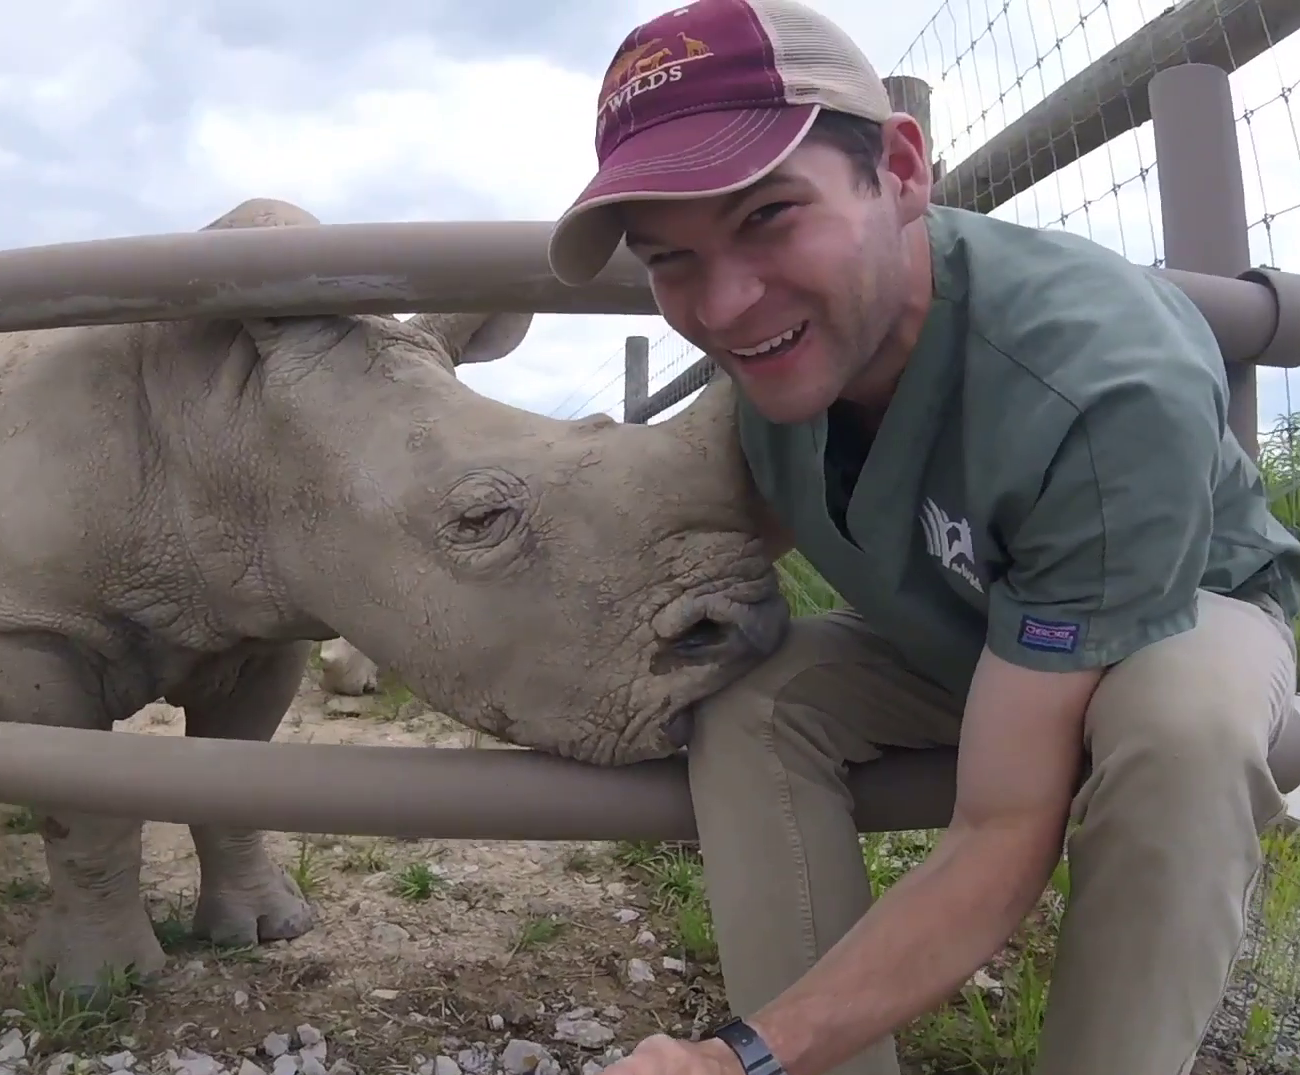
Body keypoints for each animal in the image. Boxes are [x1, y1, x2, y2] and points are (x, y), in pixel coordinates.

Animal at [0, 197, 789, 996]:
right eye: (478, 518)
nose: (747, 631)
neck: (225, 417)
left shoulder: (257, 604)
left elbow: (234, 769)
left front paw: (267, 929)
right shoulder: (34, 623)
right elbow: (84, 809)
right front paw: (100, 986)